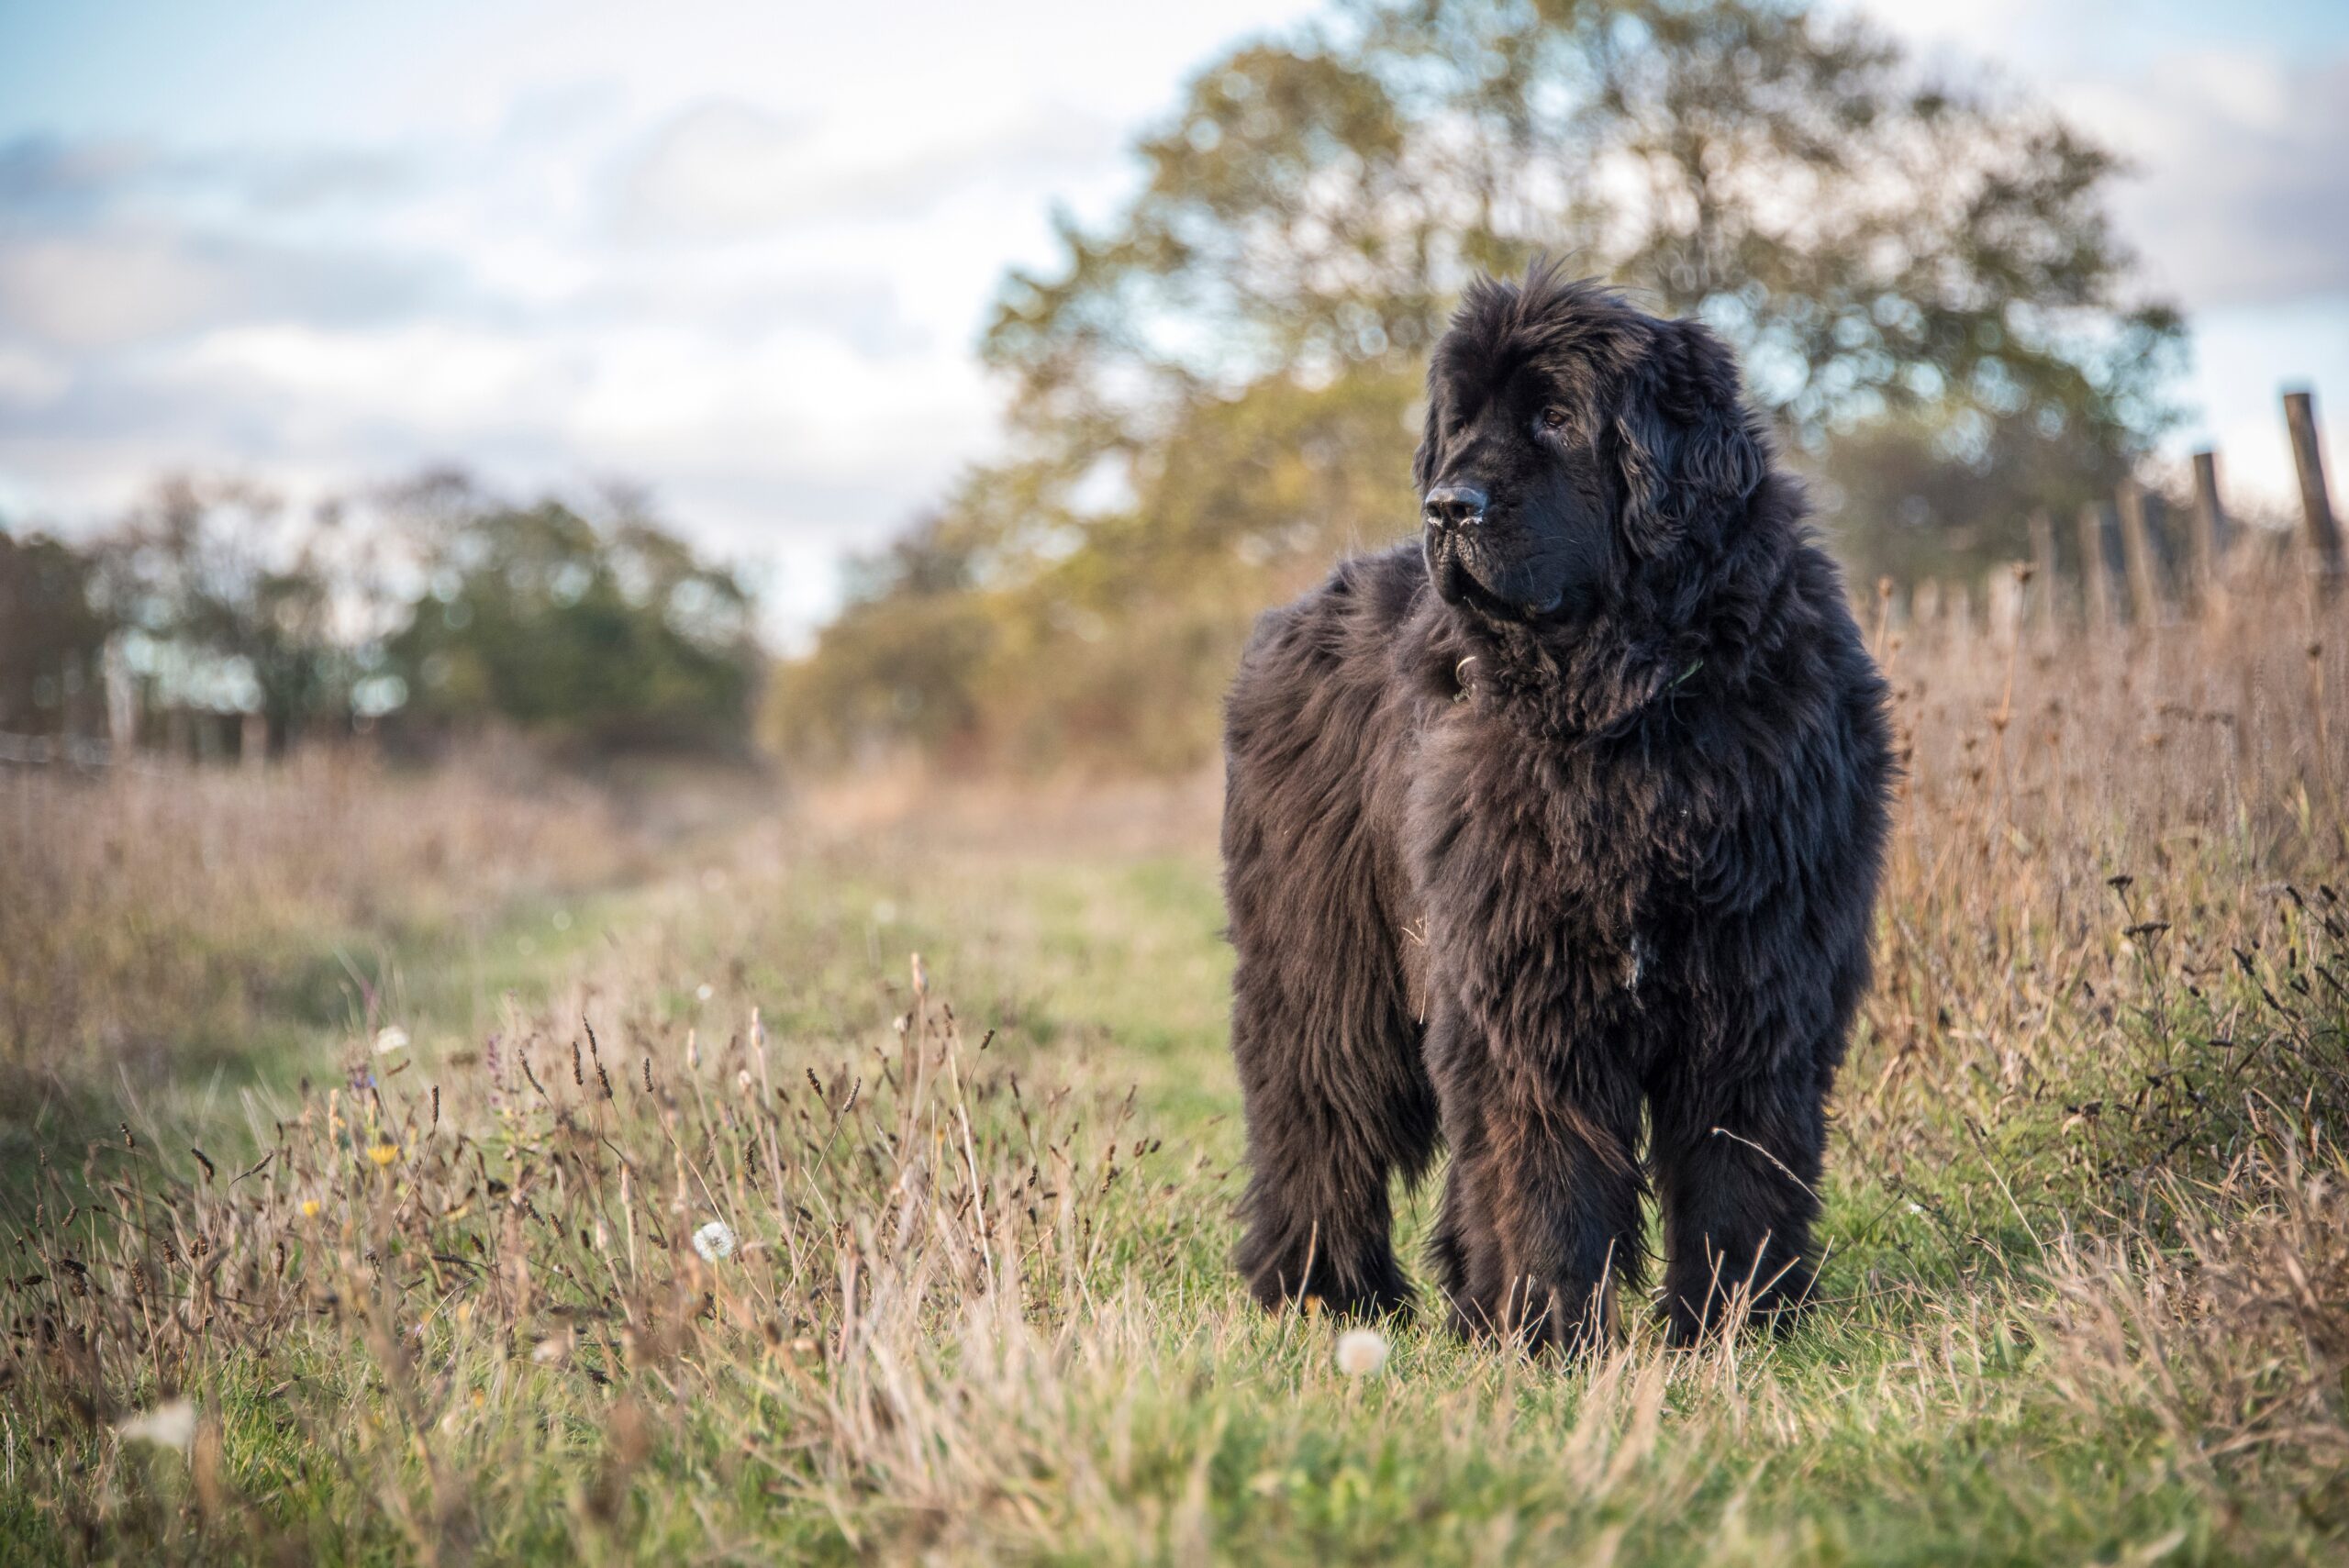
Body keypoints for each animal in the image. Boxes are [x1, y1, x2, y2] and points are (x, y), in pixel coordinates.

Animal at [1221, 270, 1898, 1351]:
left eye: (1555, 417)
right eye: (1461, 423)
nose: (1447, 506)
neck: (1629, 715)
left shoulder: (1759, 973)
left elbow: (1737, 1160)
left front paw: (1733, 1326)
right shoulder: (1526, 977)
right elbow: (1546, 1167)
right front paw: (1551, 1331)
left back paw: (1462, 1304)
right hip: (1326, 964)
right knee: (1319, 1117)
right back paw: (1325, 1294)